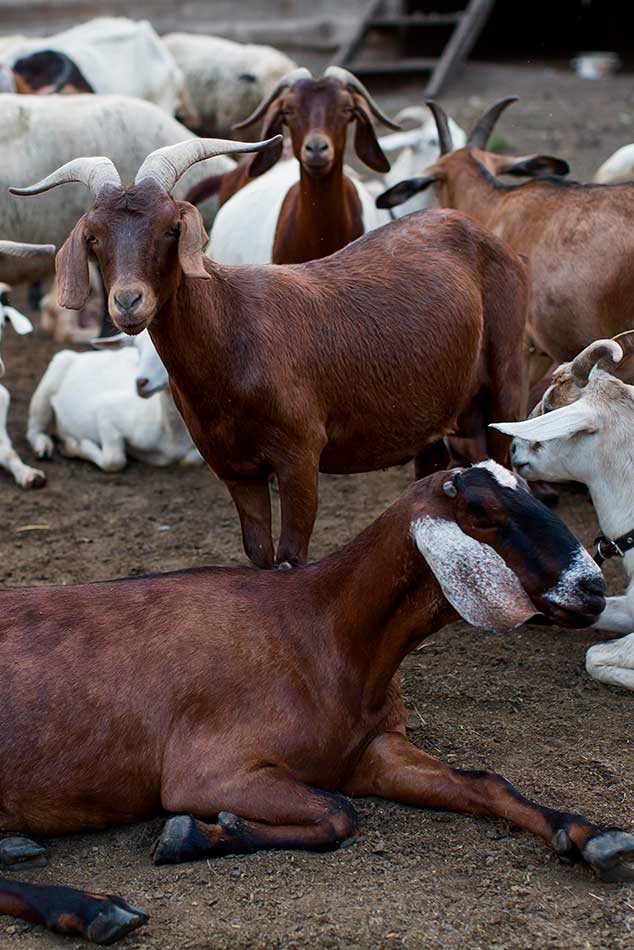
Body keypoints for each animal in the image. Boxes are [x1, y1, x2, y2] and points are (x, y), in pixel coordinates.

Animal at [1, 462, 629, 944]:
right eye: (482, 513)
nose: (593, 588)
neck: (319, 628)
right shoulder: (205, 773)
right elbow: (339, 814)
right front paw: (192, 836)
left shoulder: (374, 751)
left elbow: (485, 783)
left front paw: (594, 835)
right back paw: (92, 908)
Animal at [27, 330, 201, 471]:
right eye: (137, 348)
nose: (140, 382)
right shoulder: (107, 412)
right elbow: (114, 460)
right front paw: (73, 445)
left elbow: (191, 460)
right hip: (48, 383)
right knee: (34, 429)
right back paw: (43, 448)